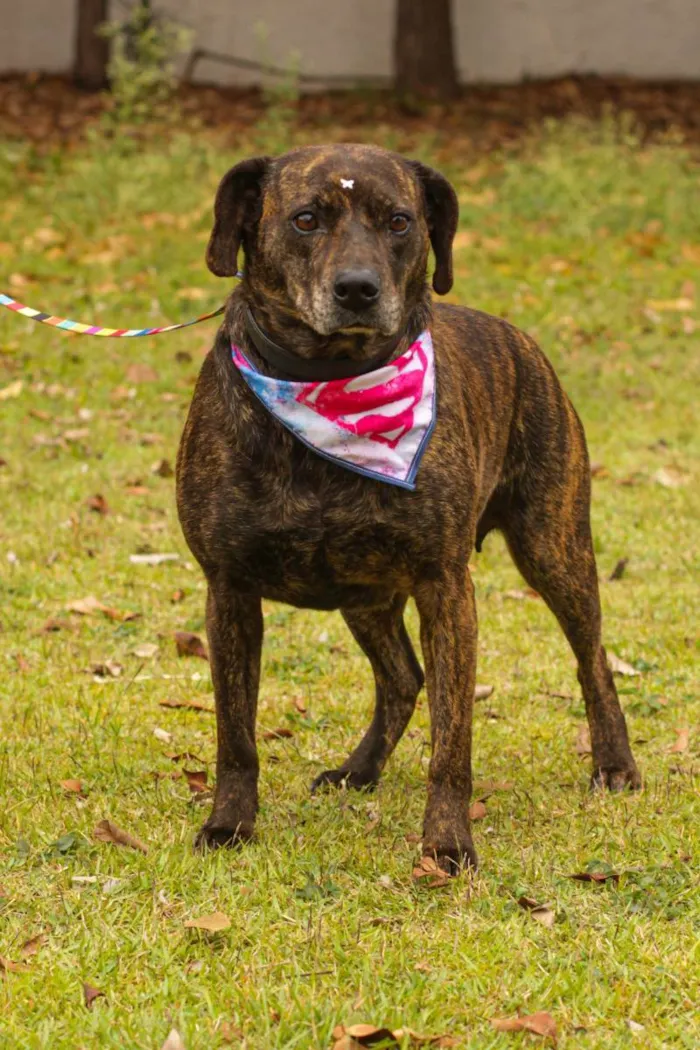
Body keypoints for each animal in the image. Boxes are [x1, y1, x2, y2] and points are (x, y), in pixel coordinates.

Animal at [176, 143, 642, 873]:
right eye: (305, 218)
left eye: (399, 221)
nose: (357, 288)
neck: (330, 381)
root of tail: (521, 339)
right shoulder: (228, 590)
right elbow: (236, 735)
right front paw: (230, 823)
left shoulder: (445, 589)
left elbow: (453, 743)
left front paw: (447, 842)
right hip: (365, 593)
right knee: (400, 677)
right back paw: (359, 769)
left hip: (556, 550)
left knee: (591, 659)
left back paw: (615, 763)